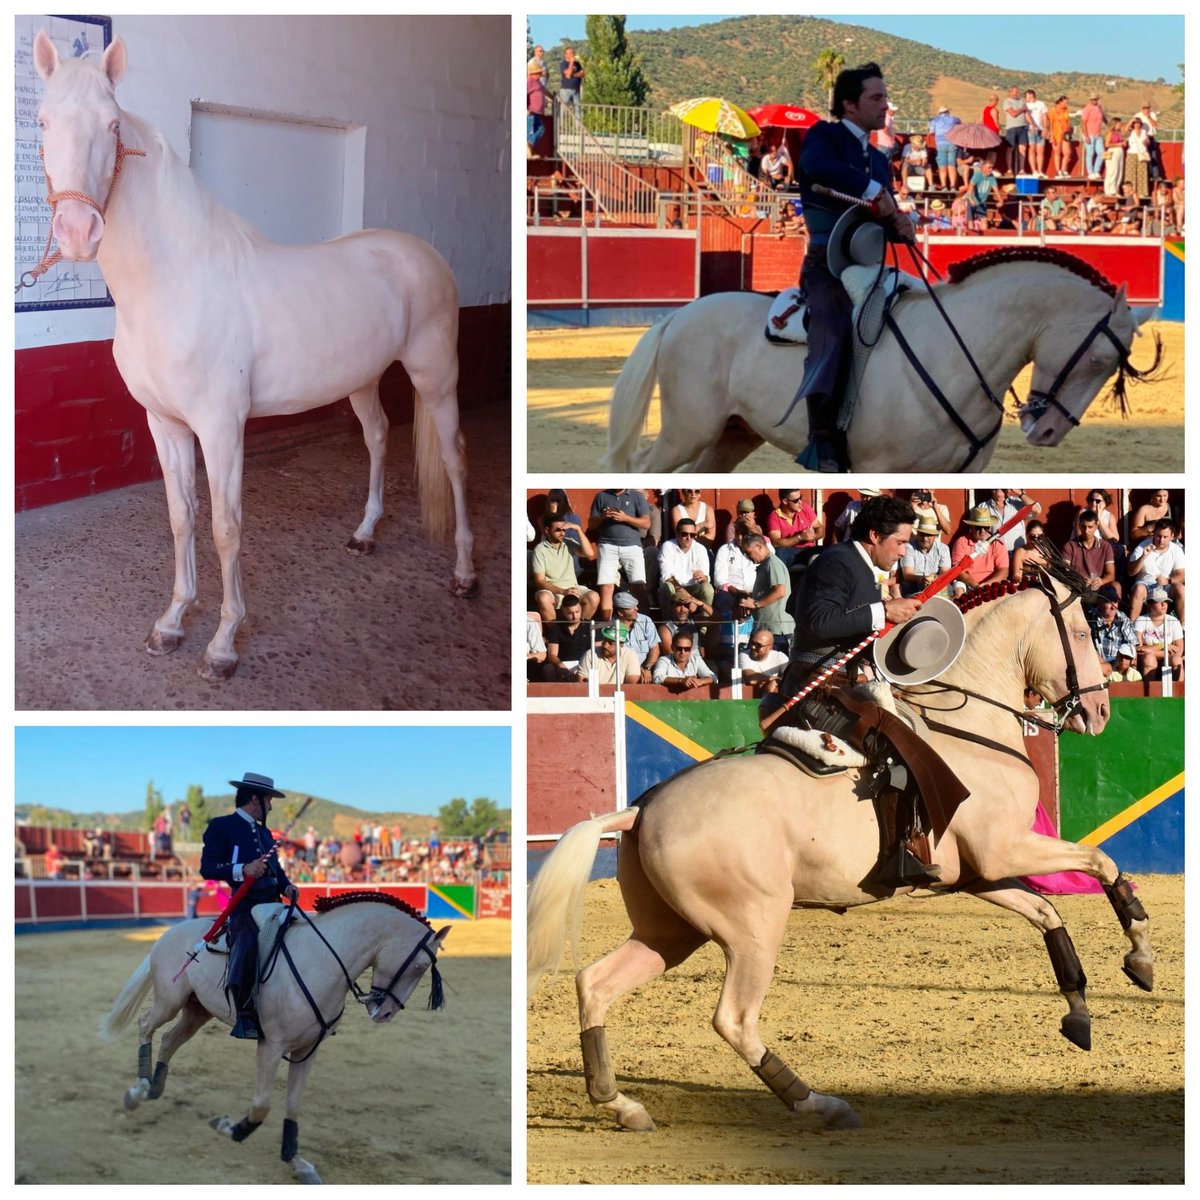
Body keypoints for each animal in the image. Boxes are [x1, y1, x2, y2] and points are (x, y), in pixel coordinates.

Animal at [32, 32, 478, 681]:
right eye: (42, 121)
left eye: (112, 125)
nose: (76, 230)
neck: (174, 280)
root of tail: (424, 254)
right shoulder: (164, 423)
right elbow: (181, 517)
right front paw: (172, 622)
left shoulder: (221, 428)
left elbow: (226, 526)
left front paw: (223, 643)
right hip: (362, 379)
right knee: (377, 437)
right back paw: (365, 533)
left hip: (436, 377)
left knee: (455, 459)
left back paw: (466, 574)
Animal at [101, 891, 449, 1183]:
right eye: (419, 965)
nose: (385, 1013)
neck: (322, 960)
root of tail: (169, 934)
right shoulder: (271, 1046)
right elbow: (261, 1106)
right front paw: (228, 1127)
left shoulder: (307, 1050)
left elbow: (292, 1106)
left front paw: (297, 1162)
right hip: (169, 1001)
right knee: (146, 1025)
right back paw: (138, 1090)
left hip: (197, 1011)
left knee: (169, 1040)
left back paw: (153, 1088)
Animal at [528, 571, 1155, 1133]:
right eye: (1082, 632)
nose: (1100, 712)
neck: (969, 728)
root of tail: (643, 809)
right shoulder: (1006, 852)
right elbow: (1100, 860)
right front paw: (1140, 955)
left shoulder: (980, 874)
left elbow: (1048, 911)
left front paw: (1079, 1010)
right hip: (751, 929)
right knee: (734, 1019)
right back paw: (818, 1104)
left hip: (669, 931)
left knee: (595, 984)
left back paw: (621, 1103)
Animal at [602, 247, 1163, 472]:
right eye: (1097, 359)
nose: (1048, 432)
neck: (959, 349)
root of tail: (679, 315)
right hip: (687, 430)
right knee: (643, 469)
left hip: (732, 434)